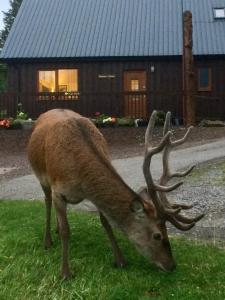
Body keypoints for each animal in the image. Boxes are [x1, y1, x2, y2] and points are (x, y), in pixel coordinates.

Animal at [27, 108, 204, 278]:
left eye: (167, 230)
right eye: (157, 235)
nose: (171, 265)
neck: (81, 181)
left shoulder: (94, 197)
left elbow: (106, 223)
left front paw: (120, 260)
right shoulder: (58, 191)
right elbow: (66, 231)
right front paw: (65, 273)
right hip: (42, 178)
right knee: (47, 202)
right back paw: (47, 241)